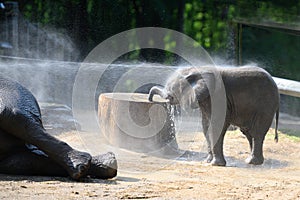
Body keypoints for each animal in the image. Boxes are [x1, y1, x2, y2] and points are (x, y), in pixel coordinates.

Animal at [149, 65, 280, 166]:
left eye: (171, 89)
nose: (150, 99)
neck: (196, 70)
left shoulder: (218, 97)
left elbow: (216, 125)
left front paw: (215, 164)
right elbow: (206, 126)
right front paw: (207, 161)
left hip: (266, 106)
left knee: (257, 132)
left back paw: (252, 162)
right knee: (248, 133)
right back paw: (251, 161)